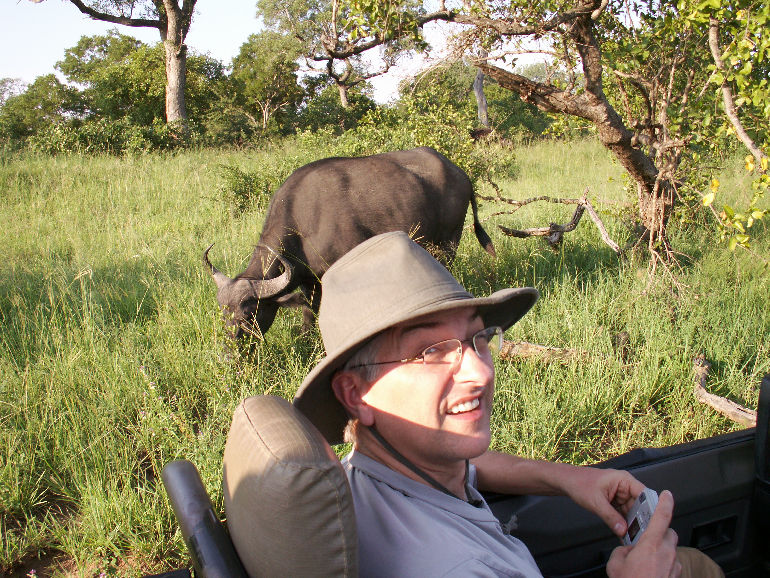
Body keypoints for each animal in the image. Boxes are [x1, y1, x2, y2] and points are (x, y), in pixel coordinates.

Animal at [204, 147, 496, 340]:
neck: (302, 223)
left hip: (449, 241)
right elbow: (309, 312)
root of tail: (461, 174)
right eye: (222, 314)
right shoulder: (309, 282)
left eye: (248, 315)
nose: (231, 355)